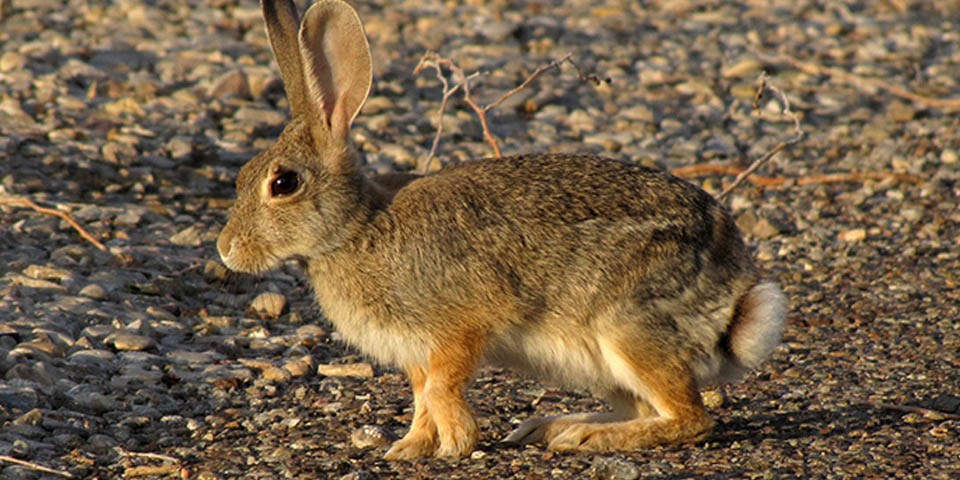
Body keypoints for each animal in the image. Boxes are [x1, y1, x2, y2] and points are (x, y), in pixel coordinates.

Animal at [218, 0, 788, 460]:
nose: (226, 251)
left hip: (630, 328)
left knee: (690, 418)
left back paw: (590, 438)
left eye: (283, 183)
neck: (355, 228)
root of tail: (733, 296)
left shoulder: (461, 323)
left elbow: (442, 389)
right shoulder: (416, 354)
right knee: (651, 410)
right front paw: (411, 447)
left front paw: (455, 445)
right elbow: (422, 398)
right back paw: (555, 427)